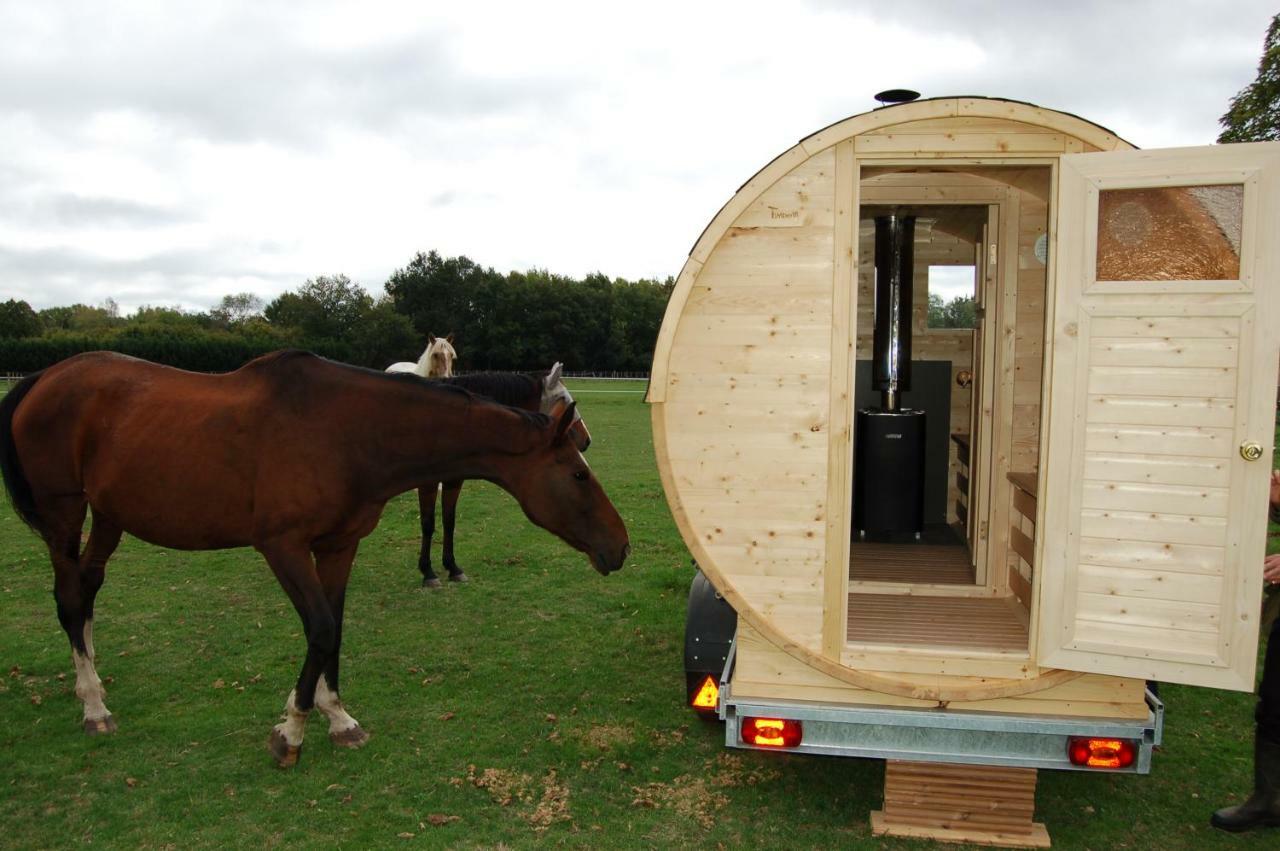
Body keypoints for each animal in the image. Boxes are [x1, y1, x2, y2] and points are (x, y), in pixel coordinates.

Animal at [0, 348, 629, 767]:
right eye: (577, 474)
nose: (620, 546)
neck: (348, 431)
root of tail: (47, 376)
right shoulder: (282, 546)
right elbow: (322, 629)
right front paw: (293, 732)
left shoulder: (339, 545)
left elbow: (335, 629)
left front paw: (336, 716)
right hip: (64, 513)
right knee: (69, 595)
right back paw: (93, 705)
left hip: (110, 516)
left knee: (88, 589)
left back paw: (92, 676)